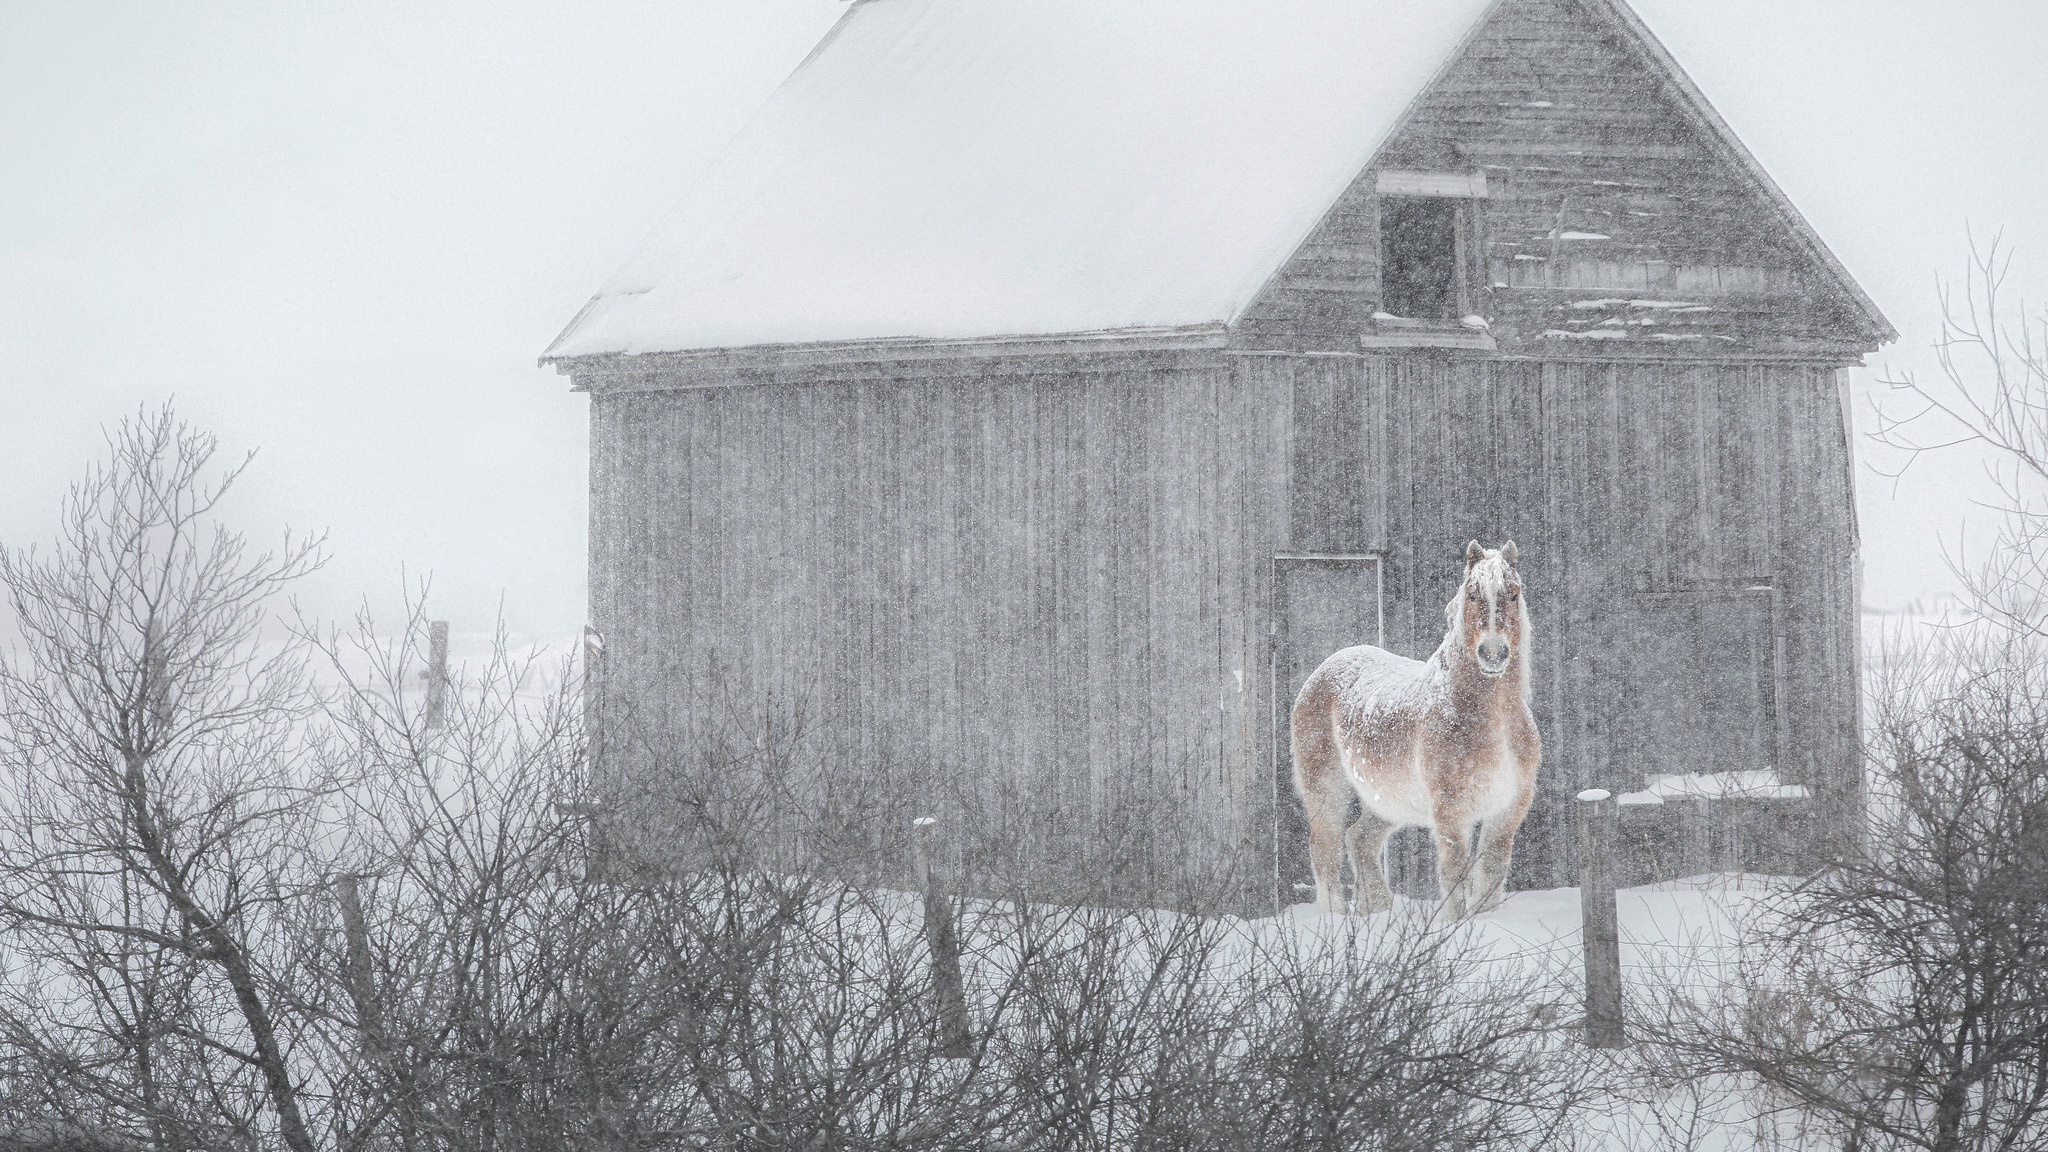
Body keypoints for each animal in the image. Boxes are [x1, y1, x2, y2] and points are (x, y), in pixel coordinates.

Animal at [1286, 537, 1540, 914]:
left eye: (1513, 593)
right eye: (1473, 594)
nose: (1493, 654)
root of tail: (1322, 671)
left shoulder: (1507, 811)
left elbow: (1491, 875)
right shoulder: (1451, 813)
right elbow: (1454, 874)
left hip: (1387, 801)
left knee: (1360, 840)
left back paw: (1378, 909)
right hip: (1326, 791)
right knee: (1326, 850)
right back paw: (1335, 916)